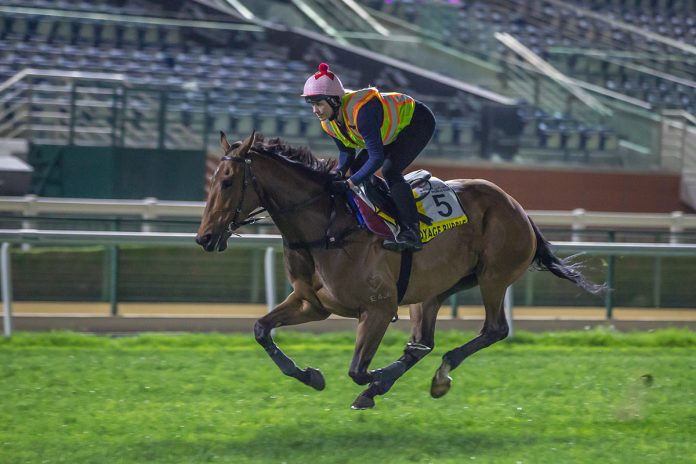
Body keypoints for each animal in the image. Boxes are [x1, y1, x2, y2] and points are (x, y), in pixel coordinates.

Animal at [196, 131, 604, 410]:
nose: (204, 237)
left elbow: (358, 370)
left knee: (493, 329)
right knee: (424, 341)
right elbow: (260, 329)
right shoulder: (312, 304)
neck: (325, 226)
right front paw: (312, 376)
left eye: (228, 181)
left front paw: (373, 382)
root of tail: (518, 208)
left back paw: (436, 377)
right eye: (211, 180)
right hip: (433, 291)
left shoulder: (378, 308)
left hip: (493, 276)